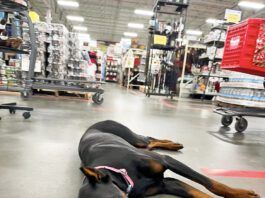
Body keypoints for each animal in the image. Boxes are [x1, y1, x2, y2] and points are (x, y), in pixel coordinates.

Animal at [77, 120, 258, 198]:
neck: (122, 174)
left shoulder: (166, 161)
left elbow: (210, 183)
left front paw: (241, 193)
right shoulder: (166, 184)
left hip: (132, 138)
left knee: (148, 139)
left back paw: (173, 144)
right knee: (150, 143)